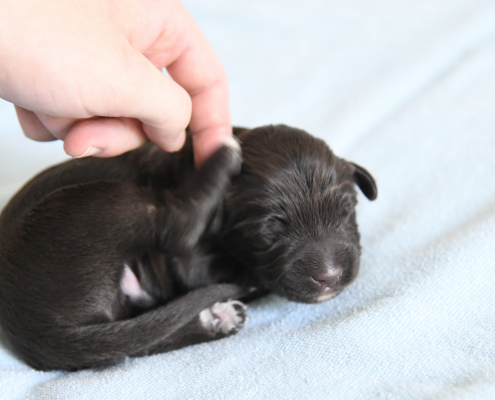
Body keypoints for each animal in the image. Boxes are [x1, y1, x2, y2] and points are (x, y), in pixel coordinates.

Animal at [0, 125, 377, 370]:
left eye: (347, 210)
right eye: (269, 231)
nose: (329, 277)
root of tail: (33, 331)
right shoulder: (190, 264)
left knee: (130, 345)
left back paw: (217, 319)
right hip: (92, 208)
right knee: (173, 225)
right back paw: (223, 156)